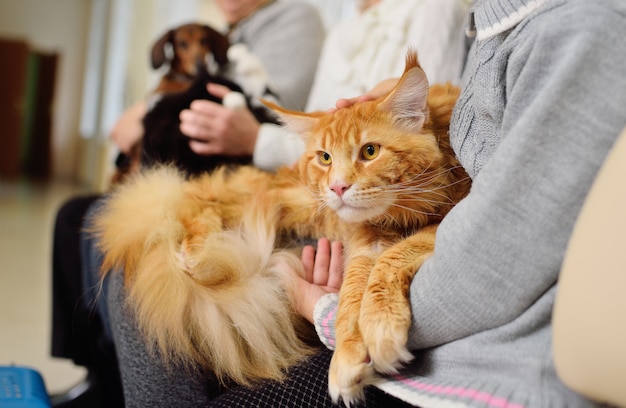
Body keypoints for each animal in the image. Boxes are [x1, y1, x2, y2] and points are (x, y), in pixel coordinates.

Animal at [94, 51, 468, 404]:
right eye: (325, 158)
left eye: (370, 151)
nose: (338, 187)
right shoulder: (365, 239)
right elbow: (353, 293)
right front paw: (349, 354)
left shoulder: (440, 221)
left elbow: (387, 265)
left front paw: (377, 329)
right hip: (296, 201)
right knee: (199, 198)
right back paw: (196, 255)